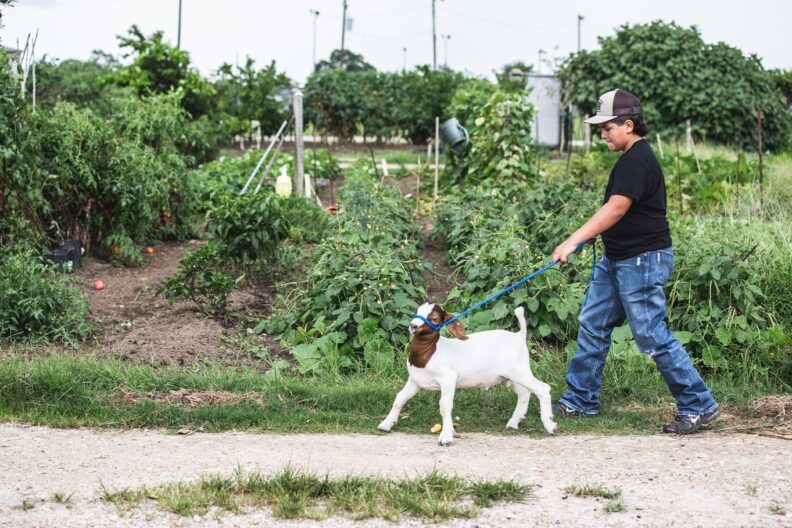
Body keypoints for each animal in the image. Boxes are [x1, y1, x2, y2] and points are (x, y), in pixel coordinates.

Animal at [378, 303, 556, 446]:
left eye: (434, 318)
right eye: (417, 311)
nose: (413, 326)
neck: (431, 352)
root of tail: (519, 336)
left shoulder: (448, 379)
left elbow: (444, 406)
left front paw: (446, 437)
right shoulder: (415, 381)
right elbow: (399, 398)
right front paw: (386, 424)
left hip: (519, 371)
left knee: (542, 388)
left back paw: (550, 425)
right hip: (510, 376)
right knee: (524, 393)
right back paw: (513, 422)